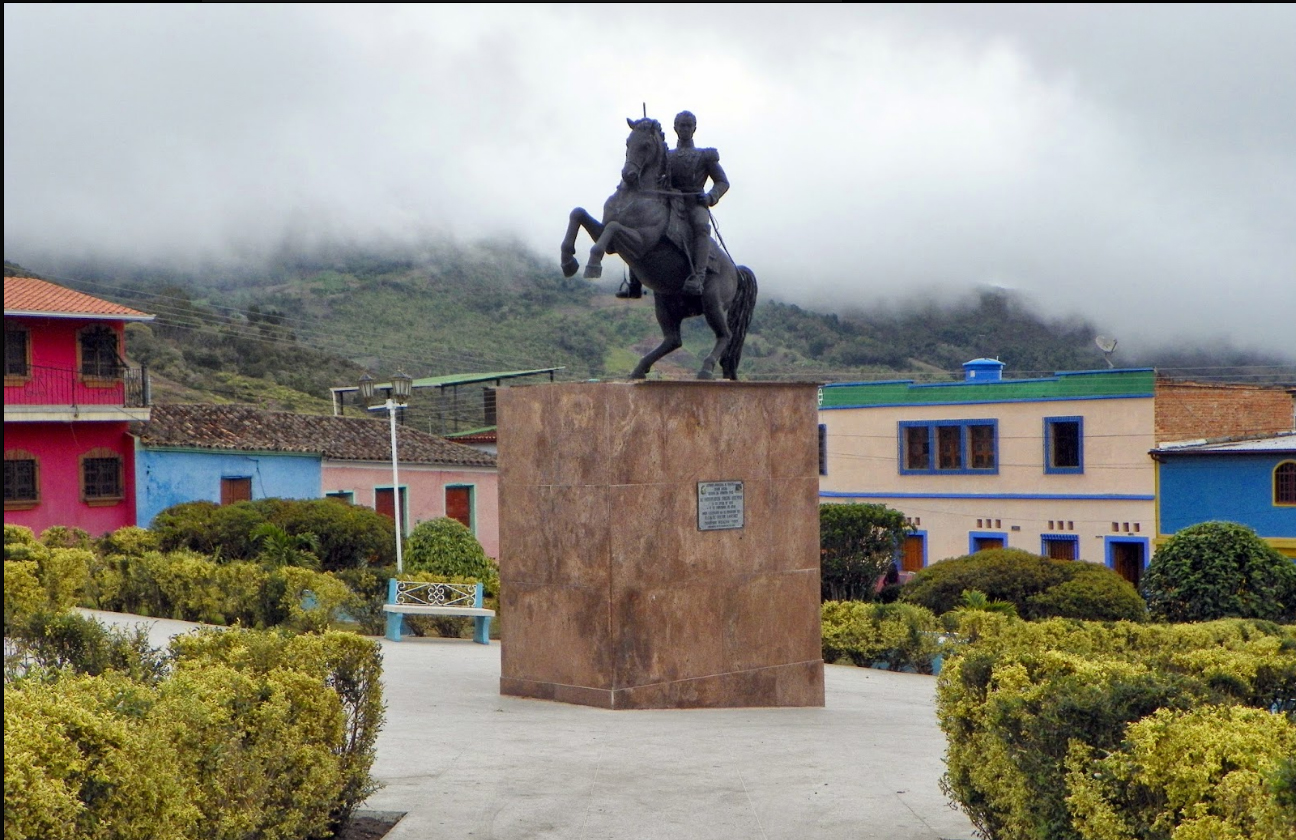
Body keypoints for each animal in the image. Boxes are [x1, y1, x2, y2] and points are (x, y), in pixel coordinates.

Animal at [559, 115, 756, 381]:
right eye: (628, 142)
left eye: (646, 146)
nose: (628, 174)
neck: (638, 194)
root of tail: (736, 270)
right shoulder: (613, 242)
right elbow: (579, 214)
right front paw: (568, 261)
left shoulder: (640, 243)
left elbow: (612, 227)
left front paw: (592, 265)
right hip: (664, 303)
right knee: (673, 340)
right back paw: (639, 369)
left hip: (712, 301)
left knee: (725, 335)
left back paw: (705, 368)